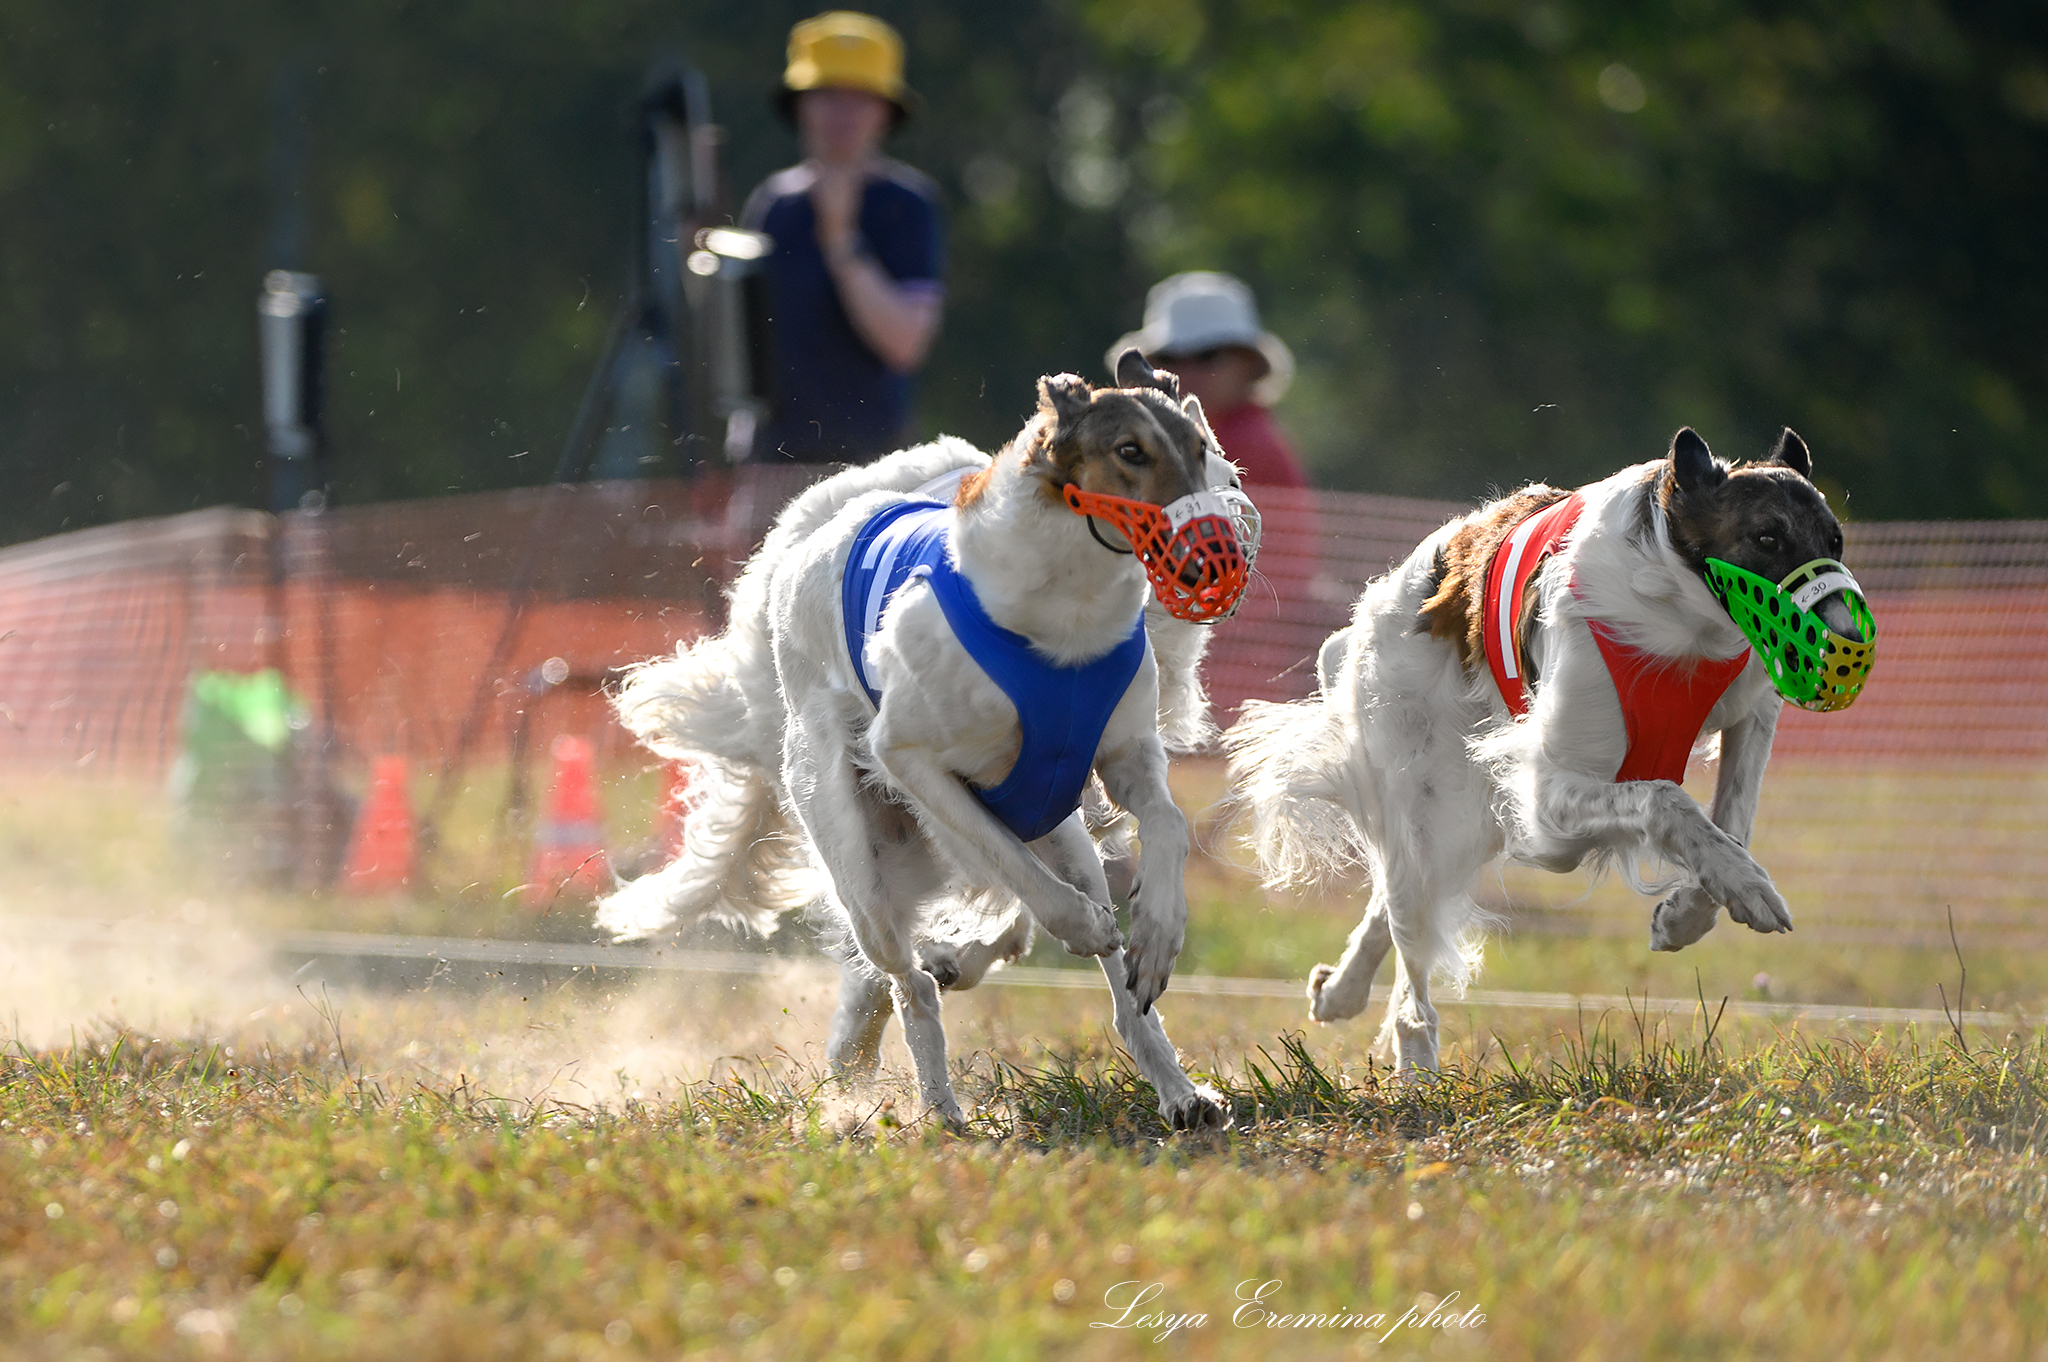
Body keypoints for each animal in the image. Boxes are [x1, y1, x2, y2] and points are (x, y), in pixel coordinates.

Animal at [598, 352, 1253, 1122]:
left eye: (1219, 468)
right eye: (1130, 453)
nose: (1221, 557)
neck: (1063, 632)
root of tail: (796, 552)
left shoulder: (1113, 763)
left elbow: (1164, 831)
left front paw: (1155, 933)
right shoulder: (915, 763)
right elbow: (1018, 879)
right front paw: (1069, 931)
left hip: (1043, 832)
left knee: (1109, 994)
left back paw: (1178, 1090)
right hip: (857, 858)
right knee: (907, 980)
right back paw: (934, 1100)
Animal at [1220, 430, 1875, 1065]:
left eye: (1836, 540)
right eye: (1767, 536)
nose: (1848, 649)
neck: (1678, 619)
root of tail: (1386, 600)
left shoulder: (1749, 708)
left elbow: (1733, 822)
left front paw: (1692, 911)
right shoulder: (1546, 802)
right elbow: (1665, 800)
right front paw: (1743, 888)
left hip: (1466, 812)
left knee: (1393, 907)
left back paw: (1340, 991)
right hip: (1428, 794)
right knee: (1411, 972)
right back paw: (1417, 1068)